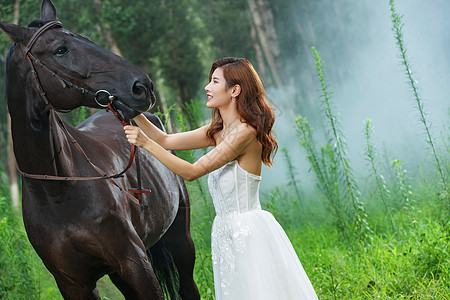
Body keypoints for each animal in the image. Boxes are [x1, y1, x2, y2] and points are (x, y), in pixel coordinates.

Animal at [0, 1, 200, 298]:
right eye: (60, 49)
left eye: (86, 38)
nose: (142, 86)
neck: (57, 189)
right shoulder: (73, 283)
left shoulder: (134, 262)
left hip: (180, 243)